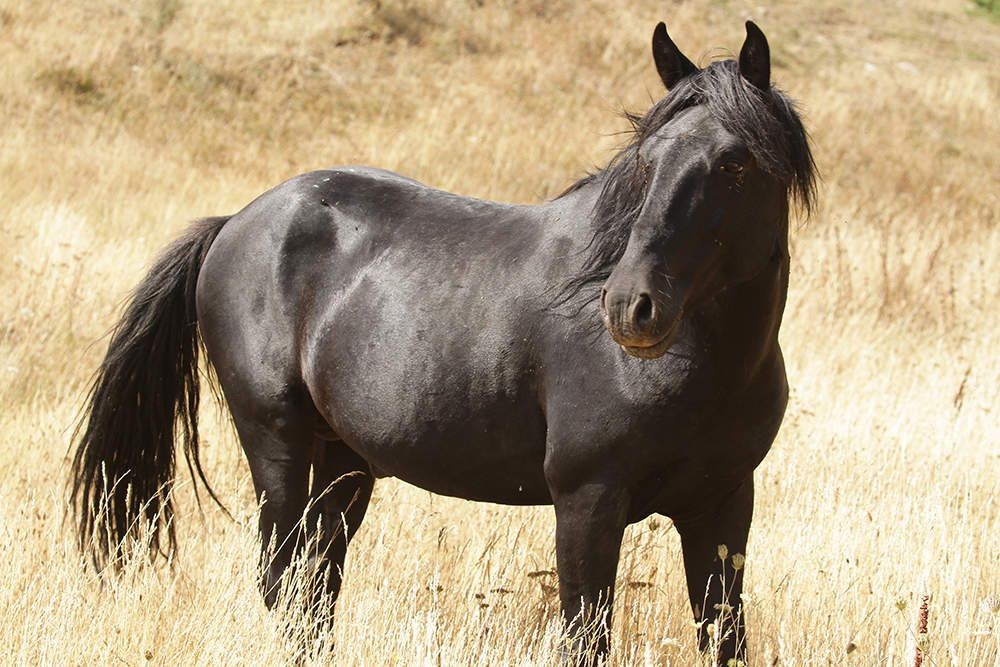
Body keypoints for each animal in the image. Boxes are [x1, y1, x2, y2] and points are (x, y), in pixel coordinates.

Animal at [76, 20, 812, 667]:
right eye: (647, 160)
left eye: (736, 163)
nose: (632, 308)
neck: (708, 367)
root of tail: (237, 222)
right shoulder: (588, 502)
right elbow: (586, 637)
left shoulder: (722, 507)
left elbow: (725, 634)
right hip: (275, 442)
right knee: (282, 581)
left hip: (343, 462)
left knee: (316, 586)